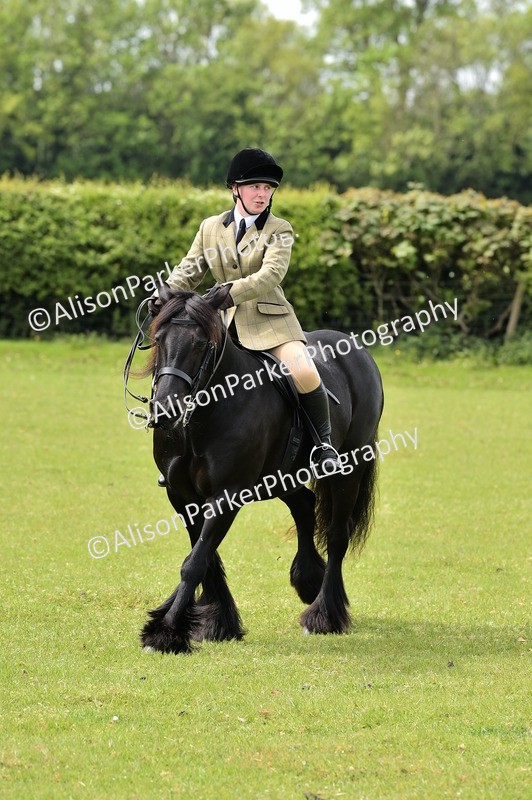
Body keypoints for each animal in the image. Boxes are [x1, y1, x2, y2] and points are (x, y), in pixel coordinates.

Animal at [135, 291, 384, 654]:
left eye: (202, 345)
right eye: (158, 339)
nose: (167, 410)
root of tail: (357, 350)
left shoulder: (226, 496)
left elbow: (194, 563)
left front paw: (166, 632)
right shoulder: (182, 497)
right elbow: (205, 558)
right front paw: (215, 622)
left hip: (349, 470)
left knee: (338, 535)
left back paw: (323, 615)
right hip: (282, 479)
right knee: (305, 507)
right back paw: (308, 580)